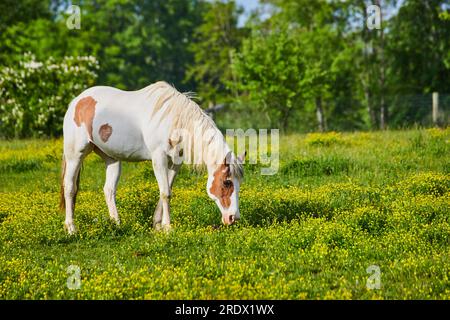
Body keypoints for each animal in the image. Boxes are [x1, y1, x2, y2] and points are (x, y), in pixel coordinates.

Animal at [59, 81, 244, 234]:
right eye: (227, 182)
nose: (233, 218)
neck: (173, 120)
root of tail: (77, 101)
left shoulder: (175, 163)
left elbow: (167, 190)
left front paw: (157, 225)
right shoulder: (158, 158)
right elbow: (165, 193)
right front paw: (168, 227)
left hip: (112, 159)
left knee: (109, 190)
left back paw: (116, 224)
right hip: (75, 155)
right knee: (70, 187)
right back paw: (71, 228)